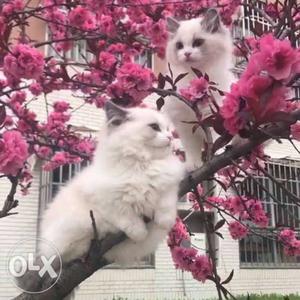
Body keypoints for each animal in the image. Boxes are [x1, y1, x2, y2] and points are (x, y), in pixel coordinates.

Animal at [38, 102, 185, 266]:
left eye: (168, 129)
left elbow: (165, 206)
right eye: (154, 127)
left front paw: (164, 222)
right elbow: (127, 217)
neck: (142, 164)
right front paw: (140, 233)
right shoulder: (107, 200)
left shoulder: (170, 186)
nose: (170, 137)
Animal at [163, 8, 236, 169]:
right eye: (179, 46)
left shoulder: (214, 117)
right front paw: (193, 165)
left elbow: (216, 139)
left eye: (197, 42)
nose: (187, 53)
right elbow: (192, 150)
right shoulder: (185, 126)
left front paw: (217, 152)